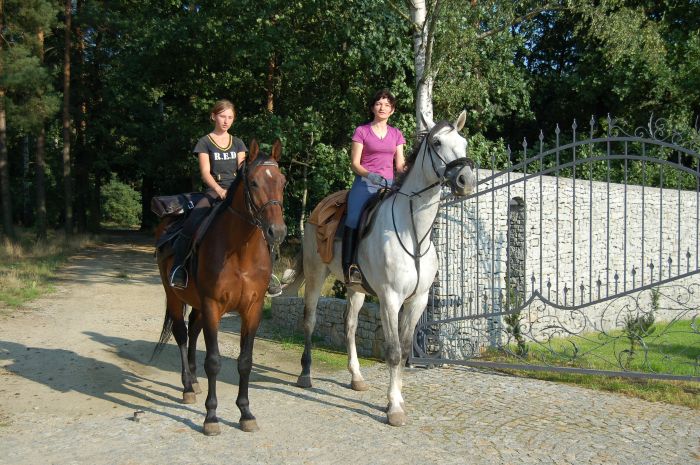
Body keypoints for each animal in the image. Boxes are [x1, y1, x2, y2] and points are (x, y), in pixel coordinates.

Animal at [153, 139, 284, 436]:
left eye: (282, 182)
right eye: (254, 183)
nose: (277, 232)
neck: (240, 252)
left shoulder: (252, 308)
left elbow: (245, 362)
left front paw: (245, 413)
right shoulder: (213, 305)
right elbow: (213, 361)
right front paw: (211, 417)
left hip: (198, 304)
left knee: (193, 330)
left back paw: (193, 380)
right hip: (174, 295)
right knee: (181, 333)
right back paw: (188, 387)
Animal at [280, 110, 476, 426]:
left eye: (464, 142)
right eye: (436, 142)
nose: (465, 180)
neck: (414, 233)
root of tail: (315, 212)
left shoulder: (418, 301)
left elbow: (405, 349)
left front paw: (396, 398)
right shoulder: (390, 299)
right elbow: (393, 352)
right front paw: (394, 408)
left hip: (356, 288)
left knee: (349, 326)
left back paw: (356, 377)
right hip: (315, 274)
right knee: (309, 321)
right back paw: (305, 375)